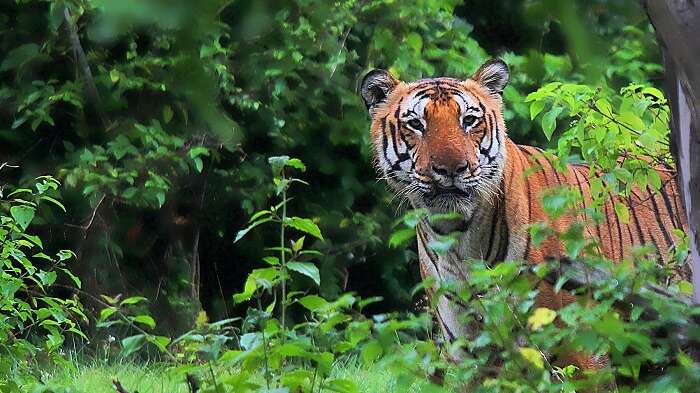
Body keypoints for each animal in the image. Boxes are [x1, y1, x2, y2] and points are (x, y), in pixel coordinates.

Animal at [360, 57, 688, 370]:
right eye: (416, 124)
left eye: (469, 120)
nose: (451, 169)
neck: (457, 238)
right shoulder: (468, 352)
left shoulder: (579, 345)